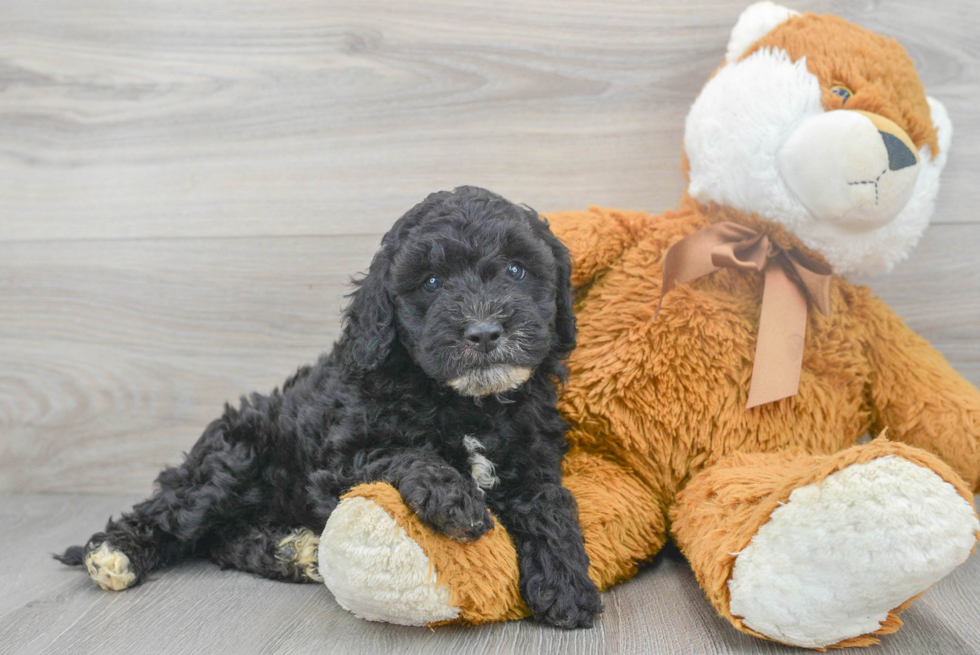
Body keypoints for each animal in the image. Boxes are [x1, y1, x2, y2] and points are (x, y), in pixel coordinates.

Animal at [59, 184, 604, 632]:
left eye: (516, 270)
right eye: (431, 282)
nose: (485, 332)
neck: (467, 403)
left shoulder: (533, 458)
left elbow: (551, 504)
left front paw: (567, 584)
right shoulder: (340, 457)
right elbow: (405, 454)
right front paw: (454, 498)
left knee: (218, 539)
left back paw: (291, 551)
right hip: (233, 460)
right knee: (178, 513)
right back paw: (115, 553)